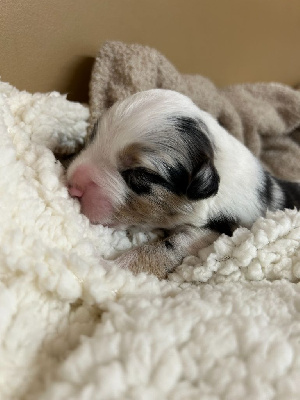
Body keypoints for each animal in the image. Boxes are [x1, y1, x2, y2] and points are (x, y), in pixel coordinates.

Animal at [67, 90, 298, 278]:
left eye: (139, 174)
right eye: (92, 137)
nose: (72, 186)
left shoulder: (214, 232)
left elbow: (167, 248)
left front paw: (107, 269)